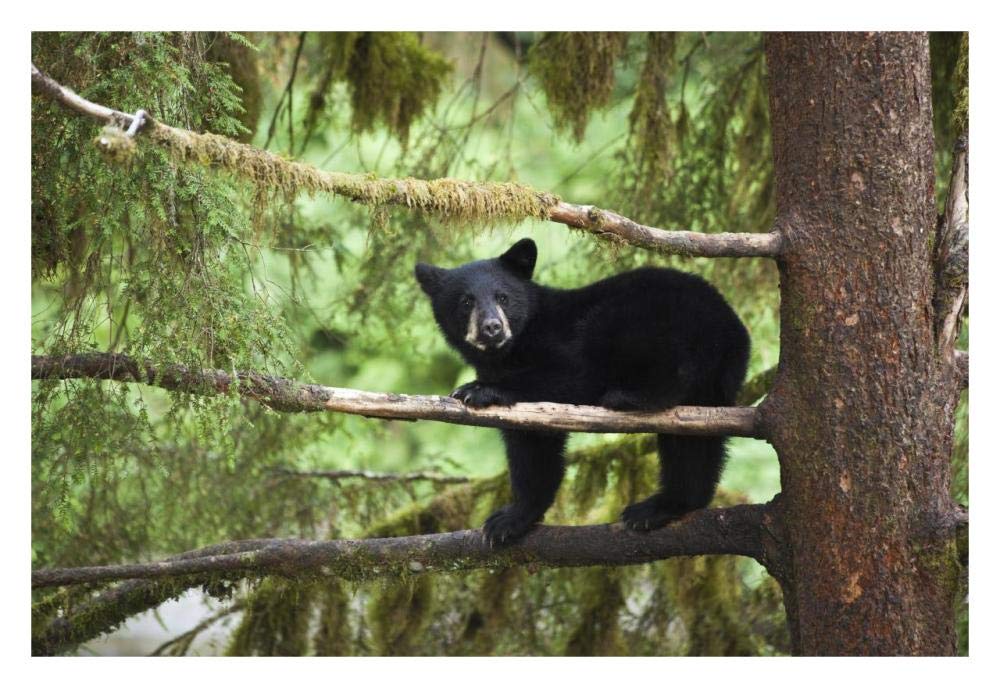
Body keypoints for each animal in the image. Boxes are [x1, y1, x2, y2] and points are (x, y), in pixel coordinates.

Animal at [415, 238, 750, 547]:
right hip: (712, 387)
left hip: (649, 321)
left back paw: (630, 397)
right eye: (465, 301)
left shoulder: (560, 346)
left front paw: (477, 389)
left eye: (503, 297)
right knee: (692, 445)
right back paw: (660, 507)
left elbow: (571, 375)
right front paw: (509, 520)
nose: (492, 328)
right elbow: (532, 447)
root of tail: (729, 327)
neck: (510, 351)